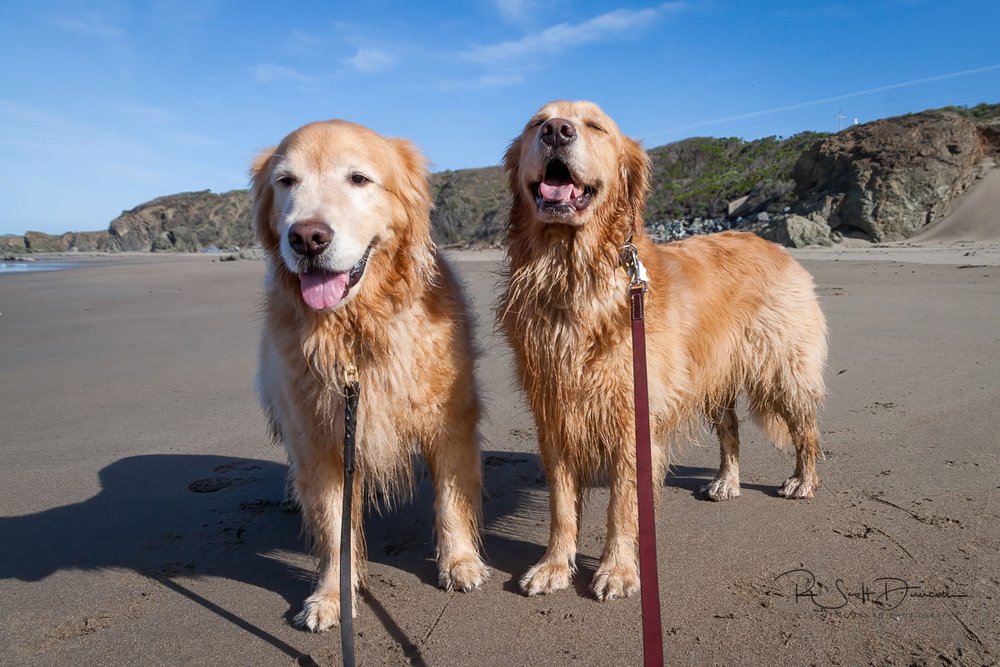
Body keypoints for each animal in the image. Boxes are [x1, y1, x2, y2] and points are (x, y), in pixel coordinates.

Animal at [252, 120, 490, 632]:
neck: (355, 329)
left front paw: (460, 562)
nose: (307, 237)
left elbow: (451, 498)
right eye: (286, 181)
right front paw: (329, 597)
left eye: (358, 179)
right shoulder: (322, 438)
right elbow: (331, 526)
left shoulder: (450, 421)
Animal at [500, 102, 828, 604]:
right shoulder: (555, 412)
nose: (557, 131)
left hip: (780, 368)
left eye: (596, 126)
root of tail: (773, 244)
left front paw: (618, 570)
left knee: (806, 428)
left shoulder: (634, 414)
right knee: (731, 430)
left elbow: (622, 503)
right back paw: (727, 481)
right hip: (712, 375)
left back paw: (803, 480)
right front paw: (554, 566)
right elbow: (561, 502)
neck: (573, 275)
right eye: (538, 123)